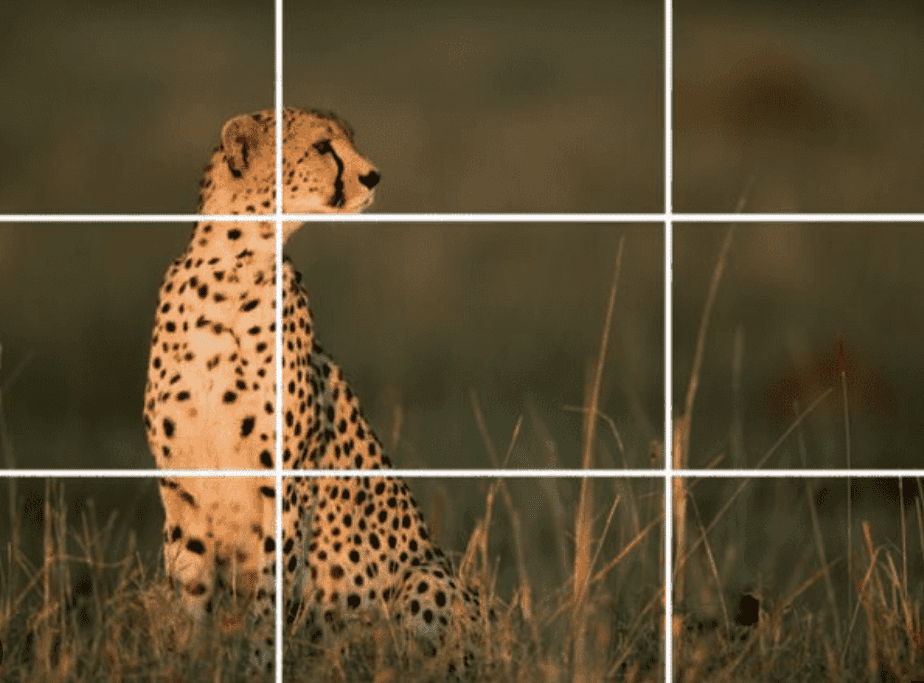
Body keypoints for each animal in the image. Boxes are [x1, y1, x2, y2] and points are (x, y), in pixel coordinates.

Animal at [143, 107, 486, 677]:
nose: (374, 176)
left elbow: (270, 593)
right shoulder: (184, 489)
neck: (228, 270)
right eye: (324, 146)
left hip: (426, 577)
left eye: (349, 140)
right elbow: (188, 597)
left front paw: (261, 665)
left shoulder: (284, 485)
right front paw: (183, 665)